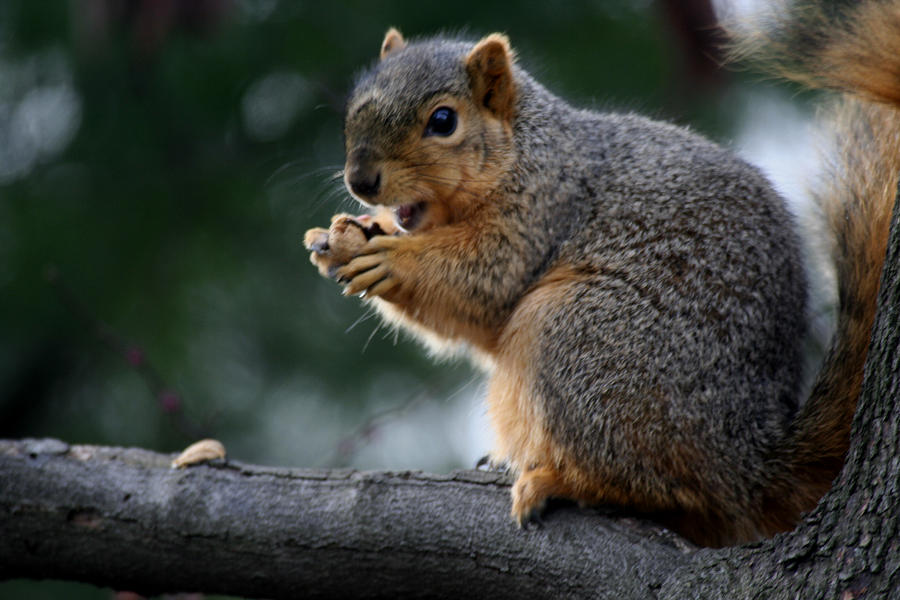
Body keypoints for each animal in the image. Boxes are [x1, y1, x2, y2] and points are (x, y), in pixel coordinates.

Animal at [302, 0, 900, 548]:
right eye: (354, 106)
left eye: (443, 121)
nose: (361, 180)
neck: (521, 151)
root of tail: (746, 457)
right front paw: (340, 237)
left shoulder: (542, 211)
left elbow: (484, 279)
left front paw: (390, 258)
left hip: (578, 336)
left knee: (663, 485)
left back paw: (557, 480)